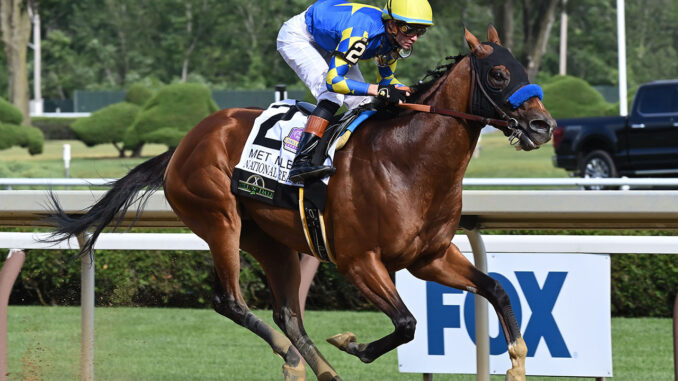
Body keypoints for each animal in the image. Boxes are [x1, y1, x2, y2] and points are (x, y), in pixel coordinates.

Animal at [46, 26, 552, 380]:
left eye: (527, 72)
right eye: (499, 74)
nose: (543, 126)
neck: (408, 162)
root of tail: (183, 144)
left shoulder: (430, 257)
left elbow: (497, 289)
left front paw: (516, 363)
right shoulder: (358, 260)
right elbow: (407, 323)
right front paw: (351, 343)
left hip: (272, 241)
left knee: (288, 313)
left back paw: (321, 370)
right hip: (220, 220)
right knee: (229, 300)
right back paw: (293, 358)